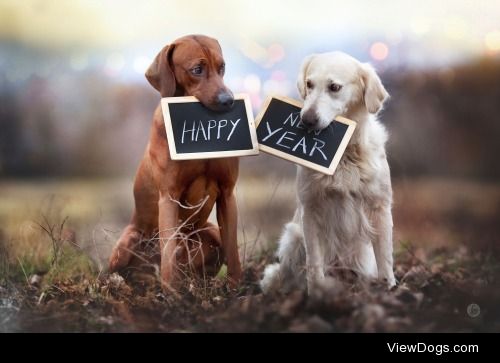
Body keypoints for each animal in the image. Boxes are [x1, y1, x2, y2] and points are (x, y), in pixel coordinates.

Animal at [108, 34, 242, 290]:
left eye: (222, 67)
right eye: (197, 69)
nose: (228, 101)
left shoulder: (227, 193)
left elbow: (233, 250)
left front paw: (236, 287)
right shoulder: (168, 197)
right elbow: (168, 251)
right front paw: (171, 293)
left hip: (209, 232)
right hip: (128, 241)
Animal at [262, 51, 394, 296]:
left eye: (334, 87)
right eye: (309, 84)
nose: (307, 120)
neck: (344, 155)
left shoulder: (379, 205)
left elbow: (385, 256)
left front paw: (388, 287)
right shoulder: (311, 208)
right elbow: (314, 262)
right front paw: (316, 293)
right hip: (293, 236)